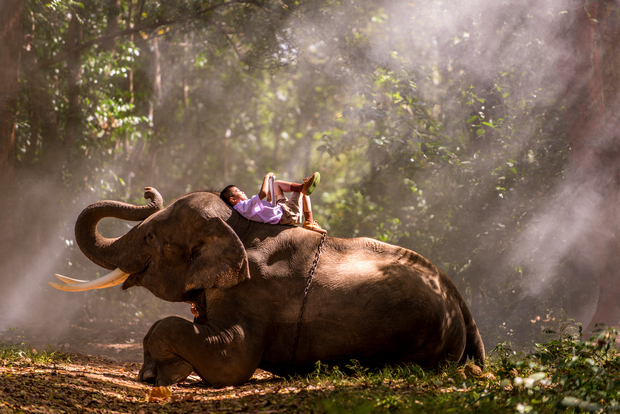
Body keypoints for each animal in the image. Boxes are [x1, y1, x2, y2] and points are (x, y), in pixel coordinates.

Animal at [50, 188, 486, 388]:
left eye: (151, 238)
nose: (147, 192)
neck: (237, 227)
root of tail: (463, 304)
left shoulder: (255, 291)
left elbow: (233, 361)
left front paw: (156, 376)